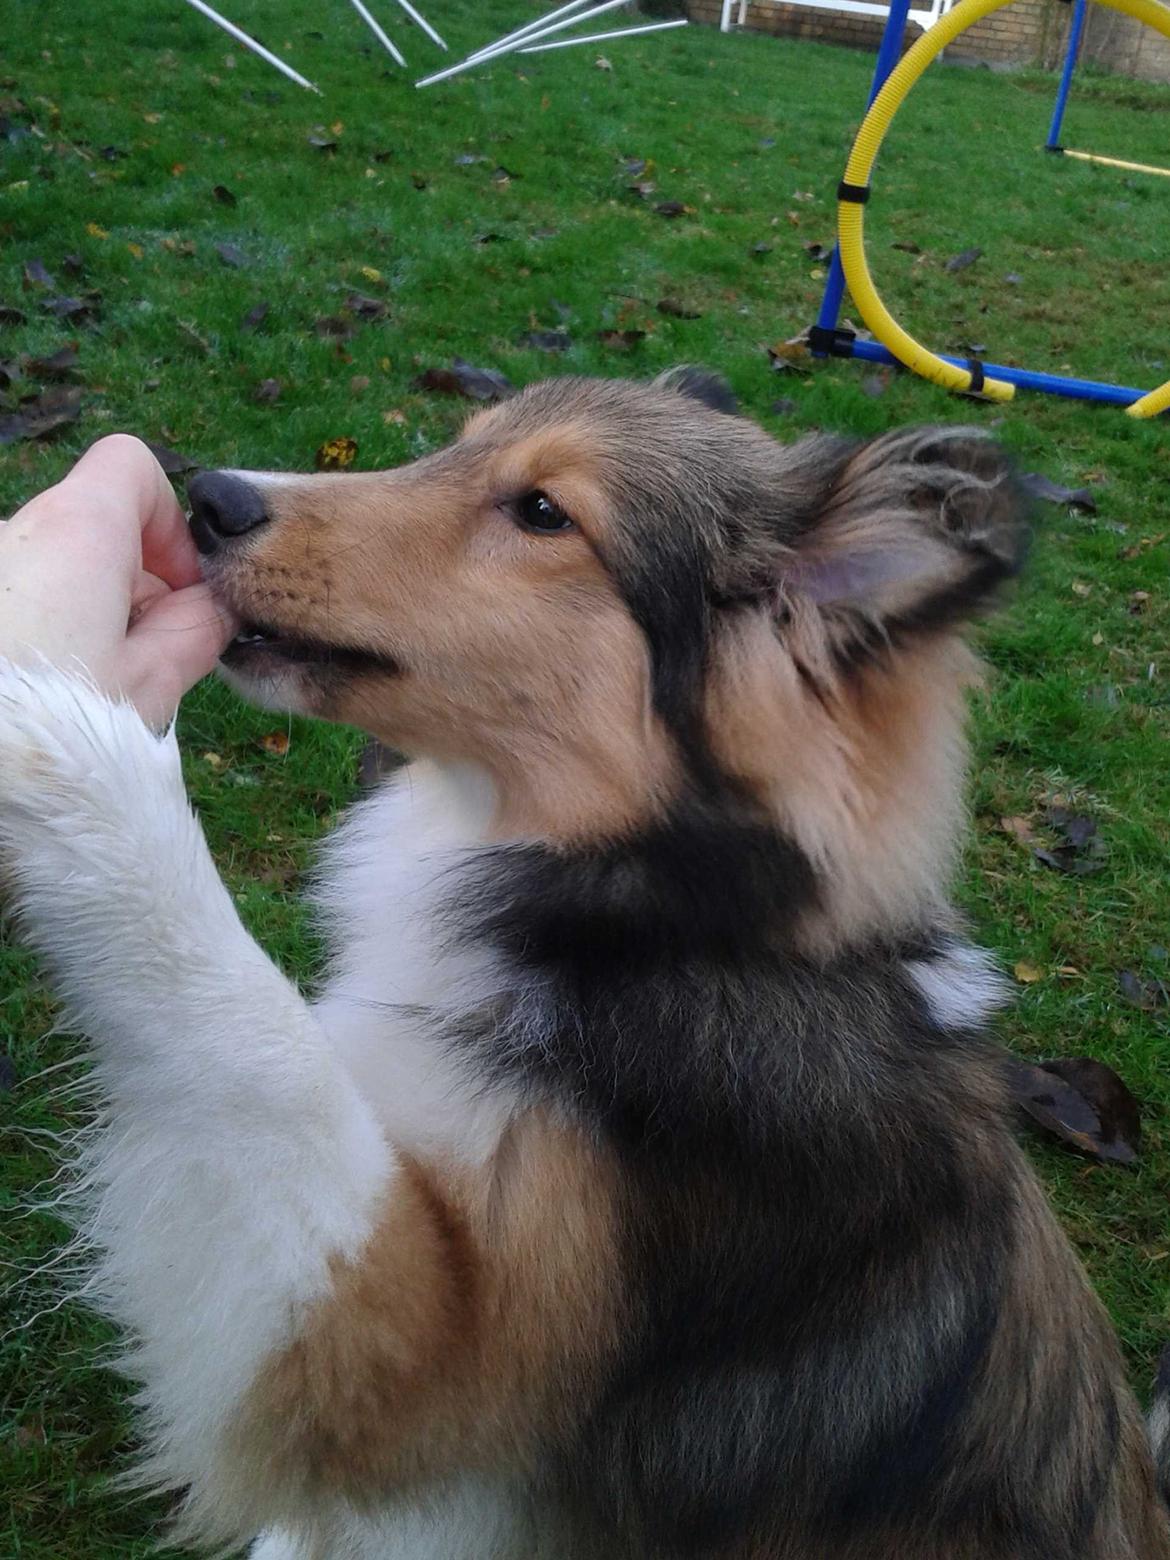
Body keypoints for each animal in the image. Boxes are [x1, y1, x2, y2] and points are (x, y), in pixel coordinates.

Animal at [0, 371, 1166, 1553]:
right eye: (459, 447)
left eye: (544, 513)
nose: (210, 499)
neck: (657, 926)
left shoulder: (423, 1368)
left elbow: (262, 1061)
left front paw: (67, 744)